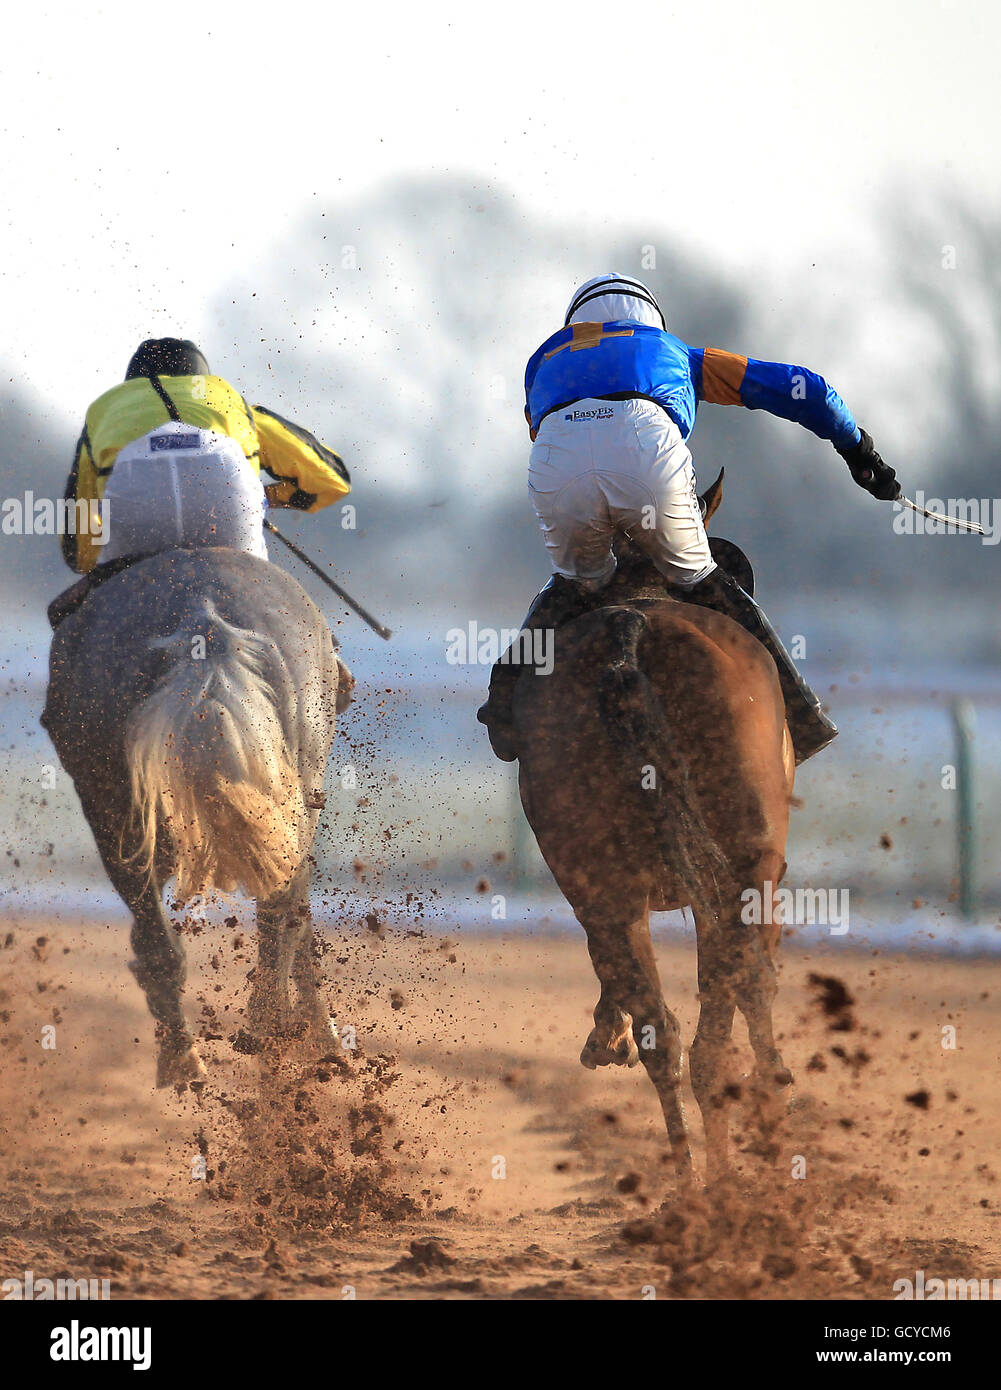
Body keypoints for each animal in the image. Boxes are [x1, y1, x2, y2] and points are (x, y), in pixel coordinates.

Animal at [42, 547, 347, 1089]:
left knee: (160, 936)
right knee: (281, 915)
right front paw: (320, 1037)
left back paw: (186, 1058)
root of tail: (206, 620)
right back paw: (263, 1036)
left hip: (119, 818)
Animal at [511, 483, 795, 1178]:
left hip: (598, 879)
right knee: (718, 1024)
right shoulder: (756, 873)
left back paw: (693, 1184)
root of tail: (632, 634)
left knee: (662, 1032)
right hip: (742, 863)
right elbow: (752, 984)